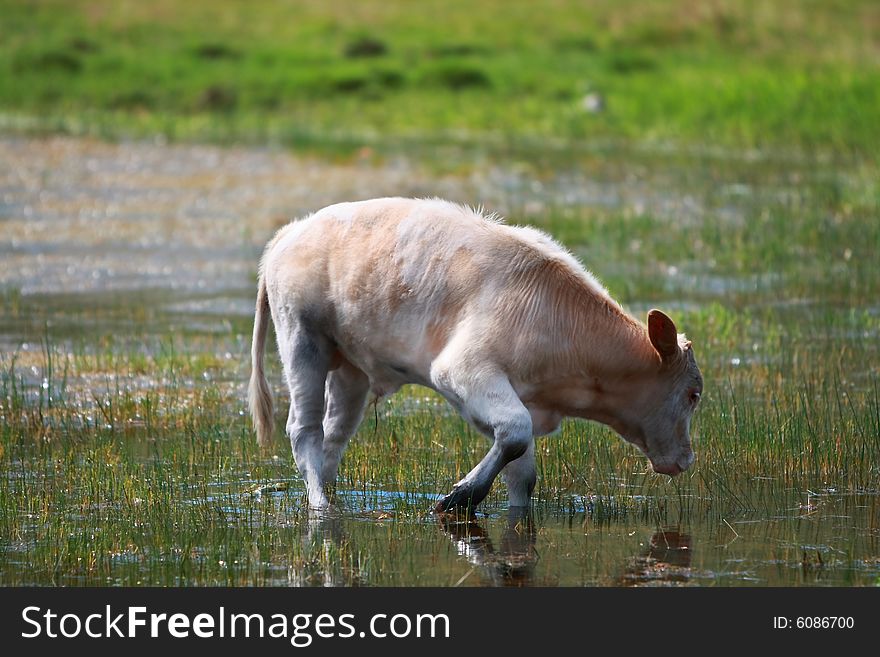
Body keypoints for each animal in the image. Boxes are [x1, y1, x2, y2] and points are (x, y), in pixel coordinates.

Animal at [248, 197, 700, 510]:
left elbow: (521, 471)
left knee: (334, 436)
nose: (687, 460)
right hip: (302, 338)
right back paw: (321, 507)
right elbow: (515, 433)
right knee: (304, 430)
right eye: (693, 394)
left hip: (350, 369)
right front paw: (461, 496)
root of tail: (289, 233)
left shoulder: (520, 399)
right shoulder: (465, 371)